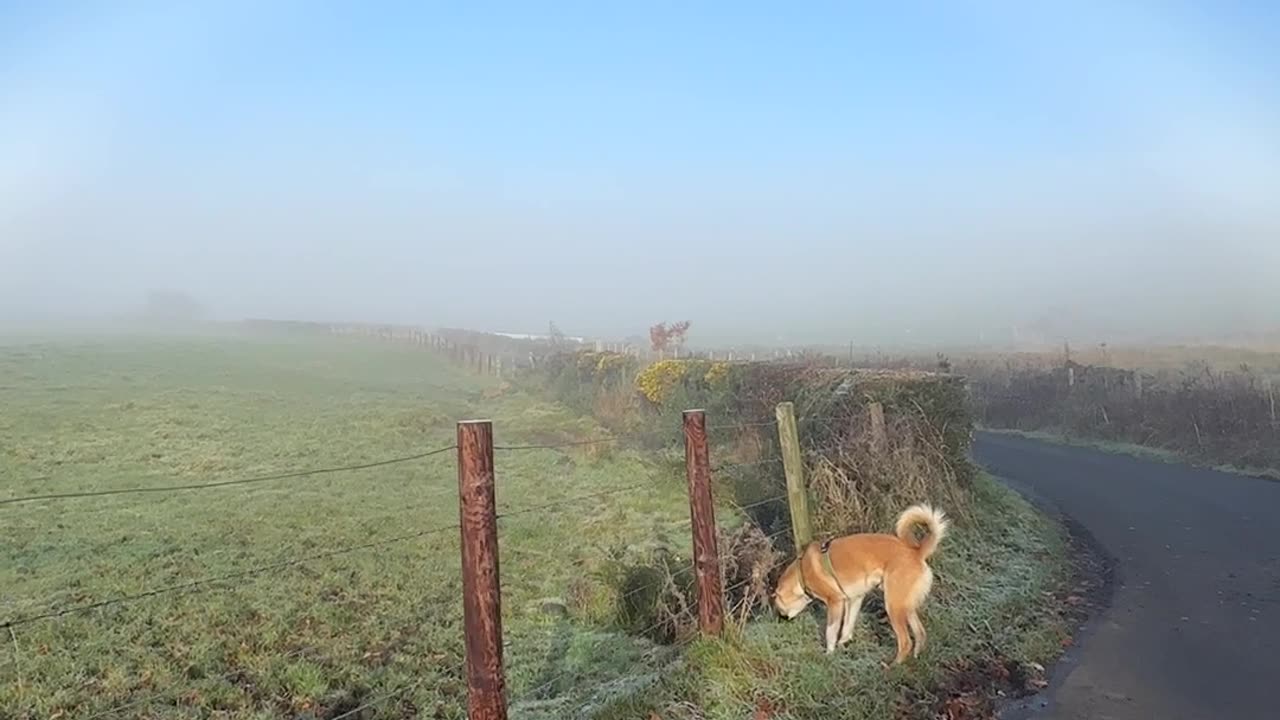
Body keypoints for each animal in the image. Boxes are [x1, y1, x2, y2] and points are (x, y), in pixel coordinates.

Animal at [768, 502, 952, 661]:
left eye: (778, 605)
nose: (780, 620)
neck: (801, 573)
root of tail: (917, 552)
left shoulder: (835, 602)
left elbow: (830, 632)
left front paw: (829, 653)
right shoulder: (854, 599)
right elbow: (847, 626)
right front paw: (843, 644)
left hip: (893, 606)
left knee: (905, 642)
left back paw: (893, 667)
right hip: (905, 605)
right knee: (920, 634)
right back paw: (916, 657)